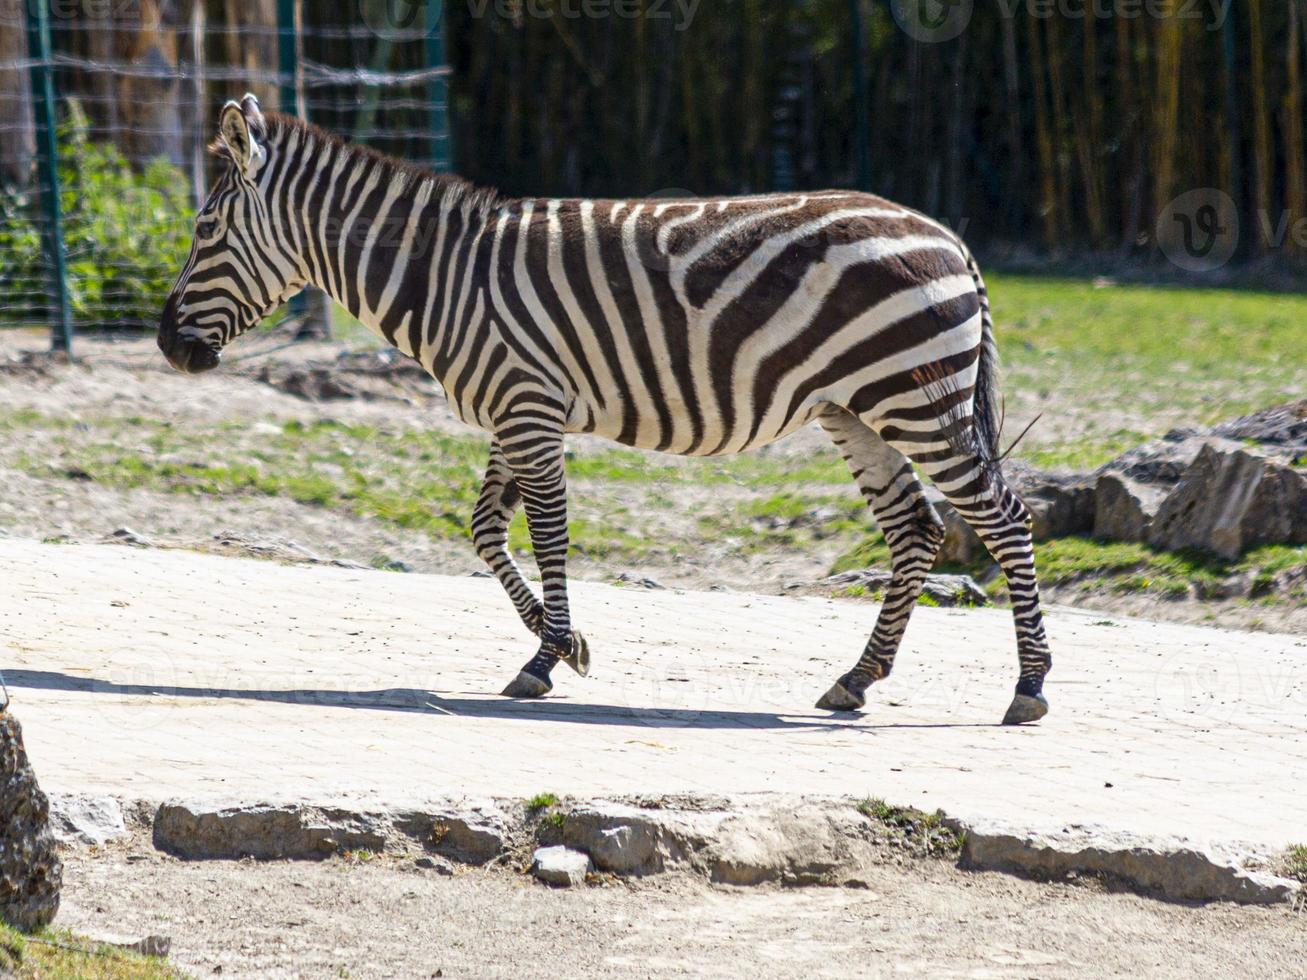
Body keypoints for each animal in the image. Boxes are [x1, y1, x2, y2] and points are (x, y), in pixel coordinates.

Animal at [158, 96, 1050, 726]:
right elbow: (485, 531)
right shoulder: (513, 407)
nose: (167, 345)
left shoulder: (525, 405)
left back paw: (1028, 687)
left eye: (204, 229)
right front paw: (549, 651)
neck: (442, 277)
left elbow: (548, 531)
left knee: (1003, 518)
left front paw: (556, 649)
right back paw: (856, 679)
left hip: (915, 398)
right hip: (858, 410)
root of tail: (947, 237)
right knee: (916, 530)